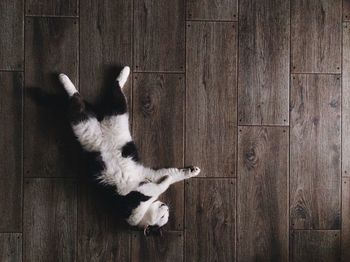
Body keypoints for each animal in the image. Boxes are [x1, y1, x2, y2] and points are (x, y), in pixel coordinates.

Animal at [57, 66, 200, 236]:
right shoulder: (142, 193)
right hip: (87, 122)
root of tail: (100, 127)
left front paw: (192, 171)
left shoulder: (151, 175)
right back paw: (64, 77)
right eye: (163, 217)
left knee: (97, 97)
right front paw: (167, 181)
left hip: (111, 116)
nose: (166, 207)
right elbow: (162, 185)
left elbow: (174, 174)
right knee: (83, 100)